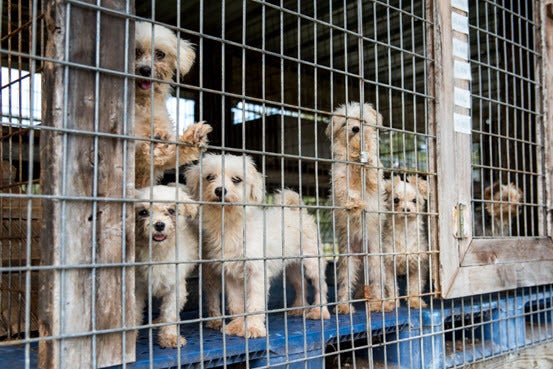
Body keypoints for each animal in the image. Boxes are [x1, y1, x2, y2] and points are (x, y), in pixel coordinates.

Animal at [134, 20, 211, 187]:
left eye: (160, 54)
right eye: (135, 51)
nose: (145, 69)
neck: (143, 103)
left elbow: (173, 152)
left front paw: (193, 136)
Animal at [134, 185, 198, 346]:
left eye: (171, 211)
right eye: (143, 212)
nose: (159, 225)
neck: (158, 253)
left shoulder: (175, 287)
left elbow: (170, 314)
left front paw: (169, 337)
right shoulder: (137, 288)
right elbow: (134, 313)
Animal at [185, 154, 330, 338]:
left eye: (236, 179)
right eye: (209, 177)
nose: (219, 191)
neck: (231, 224)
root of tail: (296, 209)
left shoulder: (257, 273)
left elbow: (255, 304)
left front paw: (253, 327)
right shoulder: (231, 275)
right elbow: (236, 305)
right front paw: (237, 326)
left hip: (313, 263)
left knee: (321, 286)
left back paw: (320, 311)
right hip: (291, 269)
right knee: (301, 284)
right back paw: (299, 307)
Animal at [326, 102, 390, 312]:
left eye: (362, 120)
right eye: (345, 123)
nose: (355, 129)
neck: (354, 158)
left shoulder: (374, 180)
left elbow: (371, 173)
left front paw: (367, 157)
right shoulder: (339, 175)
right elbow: (345, 190)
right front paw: (354, 203)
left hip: (375, 260)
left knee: (377, 283)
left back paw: (378, 304)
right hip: (348, 261)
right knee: (345, 284)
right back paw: (344, 306)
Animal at [382, 175, 430, 308]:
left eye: (414, 200)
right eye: (396, 200)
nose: (406, 209)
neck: (404, 230)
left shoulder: (419, 265)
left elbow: (414, 286)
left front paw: (414, 301)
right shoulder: (388, 266)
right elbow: (391, 287)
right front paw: (391, 302)